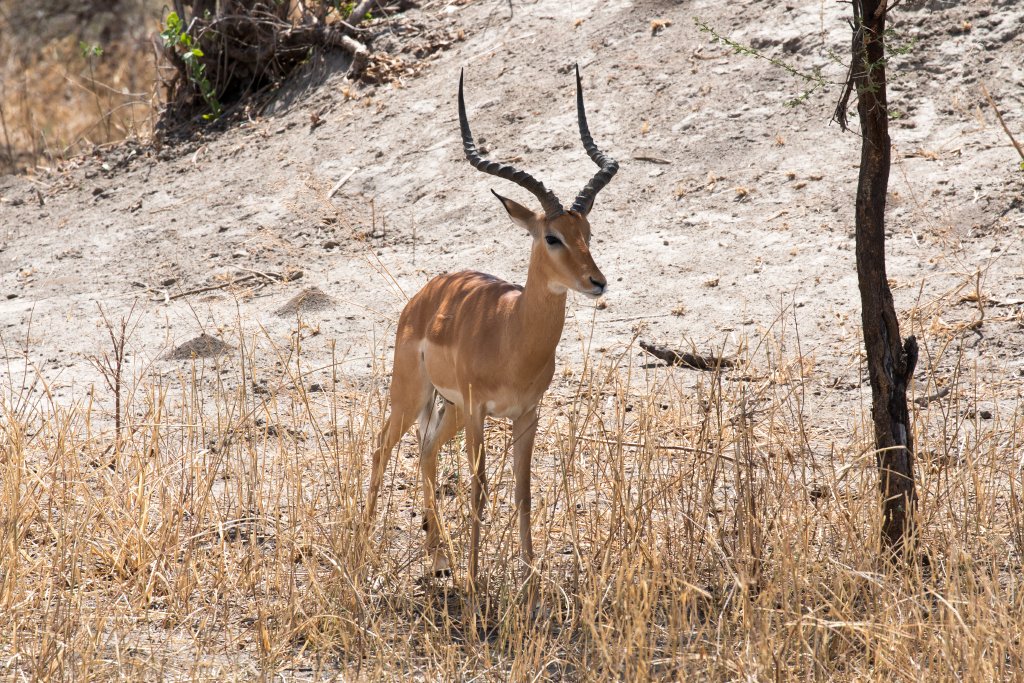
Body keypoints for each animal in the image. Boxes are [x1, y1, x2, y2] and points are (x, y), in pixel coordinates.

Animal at [365, 65, 618, 590]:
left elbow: (523, 491)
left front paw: (528, 576)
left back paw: (438, 560)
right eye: (552, 236)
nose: (597, 282)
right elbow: (479, 489)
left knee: (425, 452)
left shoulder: (527, 413)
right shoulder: (482, 411)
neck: (511, 332)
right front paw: (477, 578)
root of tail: (427, 294)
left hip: (451, 409)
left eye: (587, 233)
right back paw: (361, 552)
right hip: (414, 396)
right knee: (382, 449)